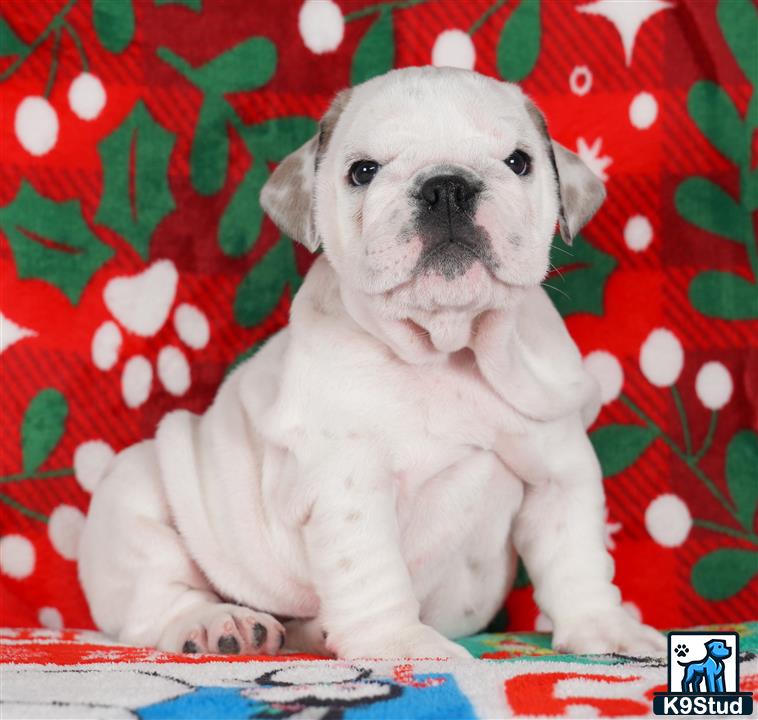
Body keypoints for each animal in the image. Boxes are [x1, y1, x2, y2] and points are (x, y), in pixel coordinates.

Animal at [80, 67, 668, 660]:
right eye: (363, 171)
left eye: (518, 161)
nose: (447, 186)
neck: (449, 349)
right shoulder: (349, 483)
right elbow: (371, 572)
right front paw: (401, 645)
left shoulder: (560, 469)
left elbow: (577, 557)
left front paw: (604, 627)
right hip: (136, 491)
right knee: (158, 596)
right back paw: (220, 624)